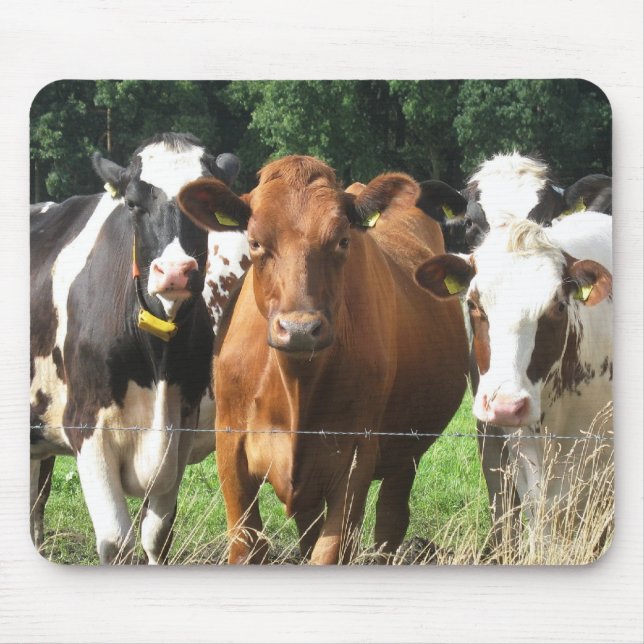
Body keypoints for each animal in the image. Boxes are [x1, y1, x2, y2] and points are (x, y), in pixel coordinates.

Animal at [30, 132, 242, 564]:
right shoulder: (85, 427)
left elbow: (157, 537)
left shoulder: (179, 433)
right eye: (132, 203)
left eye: (206, 208)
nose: (175, 272)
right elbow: (117, 544)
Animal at [177, 155, 469, 565]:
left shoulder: (356, 457)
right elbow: (248, 545)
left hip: (405, 454)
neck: (294, 385)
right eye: (255, 242)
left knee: (391, 519)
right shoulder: (230, 449)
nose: (300, 329)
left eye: (342, 240)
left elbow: (330, 550)